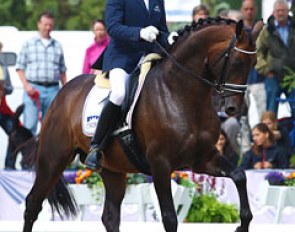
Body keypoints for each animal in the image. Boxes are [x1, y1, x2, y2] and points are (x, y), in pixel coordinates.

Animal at [22, 18, 264, 232]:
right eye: (236, 62)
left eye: (253, 64)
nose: (234, 109)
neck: (181, 94)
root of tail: (62, 93)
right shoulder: (160, 164)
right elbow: (169, 218)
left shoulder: (203, 158)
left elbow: (239, 175)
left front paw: (242, 225)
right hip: (53, 159)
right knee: (32, 204)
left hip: (112, 170)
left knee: (110, 217)